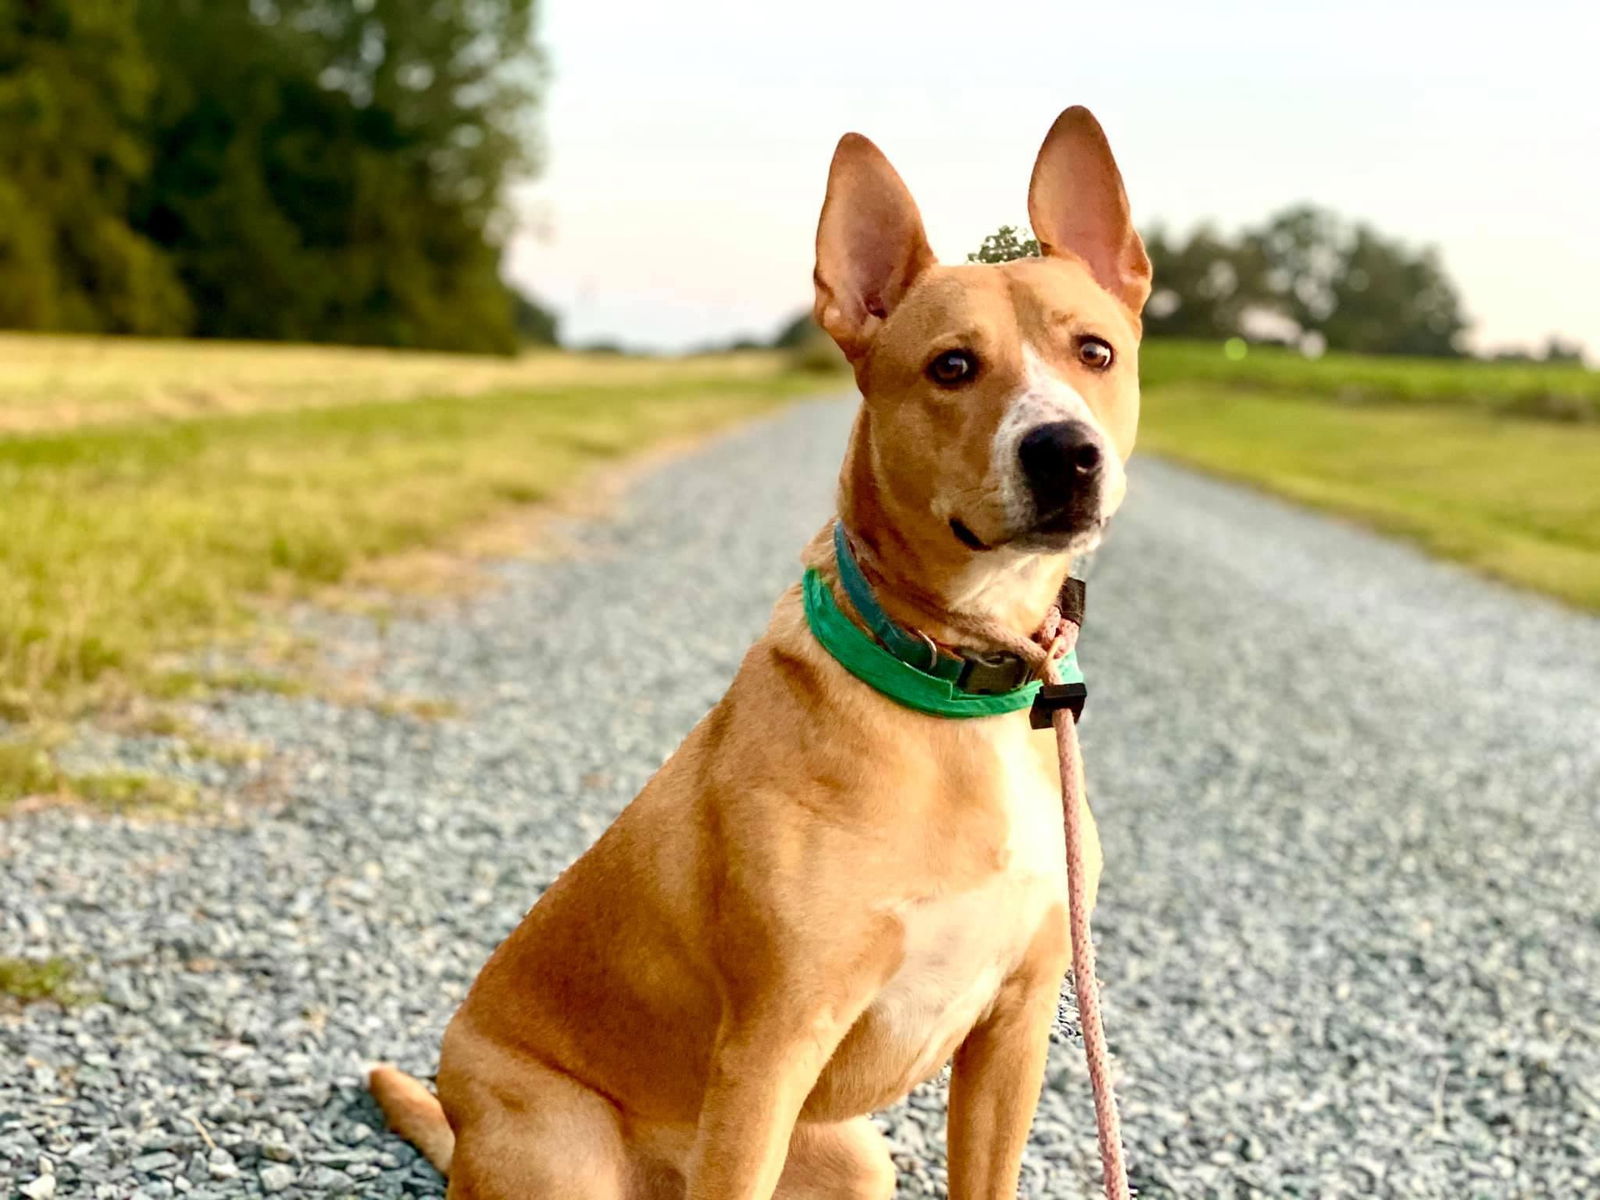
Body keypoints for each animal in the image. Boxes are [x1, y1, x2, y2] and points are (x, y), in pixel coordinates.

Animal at [371, 108, 1152, 1196]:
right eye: (952, 366)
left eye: (1095, 351)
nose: (1066, 452)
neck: (954, 689)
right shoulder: (772, 1049)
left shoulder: (1015, 1033)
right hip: (567, 1154)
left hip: (855, 1157)